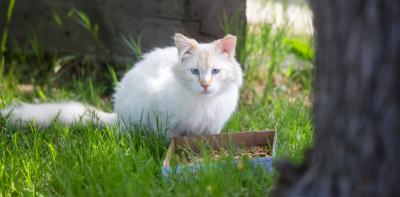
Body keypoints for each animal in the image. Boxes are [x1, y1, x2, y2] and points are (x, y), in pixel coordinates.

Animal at [0, 33, 242, 137]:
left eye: (215, 72)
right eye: (195, 72)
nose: (205, 85)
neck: (204, 103)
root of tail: (117, 115)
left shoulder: (213, 127)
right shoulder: (167, 122)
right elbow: (170, 140)